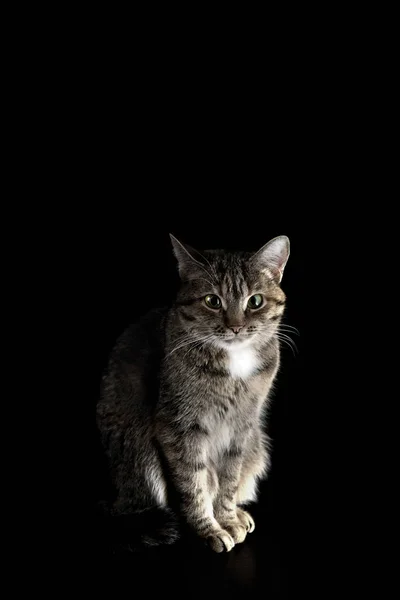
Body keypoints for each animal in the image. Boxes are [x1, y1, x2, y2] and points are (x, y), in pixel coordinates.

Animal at [97, 234, 290, 552]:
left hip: (256, 444)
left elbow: (229, 480)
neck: (234, 361)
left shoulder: (242, 426)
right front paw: (209, 530)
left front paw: (228, 518)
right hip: (139, 447)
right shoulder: (178, 426)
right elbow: (193, 483)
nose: (235, 327)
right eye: (213, 301)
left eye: (255, 301)